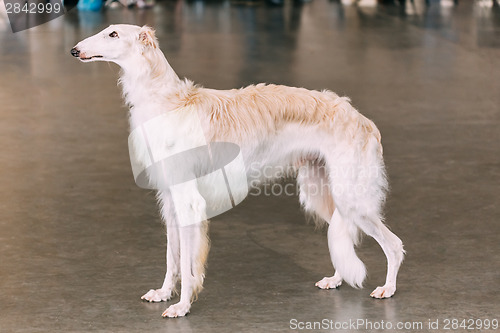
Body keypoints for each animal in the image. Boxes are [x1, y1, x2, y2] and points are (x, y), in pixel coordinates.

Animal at [72, 25, 404, 316]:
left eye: (113, 34)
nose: (74, 50)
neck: (168, 102)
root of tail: (363, 119)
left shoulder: (189, 202)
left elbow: (189, 266)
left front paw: (182, 306)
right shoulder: (170, 200)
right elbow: (172, 258)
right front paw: (164, 293)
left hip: (350, 198)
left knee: (394, 245)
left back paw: (387, 288)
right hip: (321, 193)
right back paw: (336, 279)